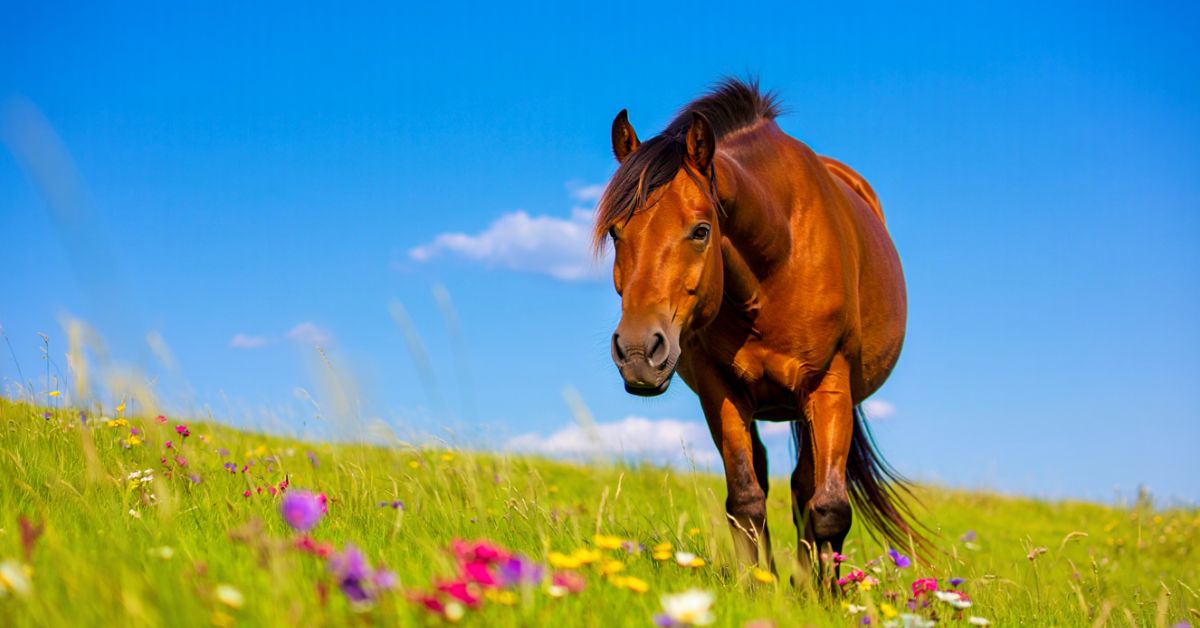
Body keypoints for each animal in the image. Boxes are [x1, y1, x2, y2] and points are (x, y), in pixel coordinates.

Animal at [593, 79, 925, 578]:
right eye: (616, 231)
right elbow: (746, 499)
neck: (775, 265)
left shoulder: (829, 386)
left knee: (807, 489)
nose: (637, 353)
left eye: (701, 230)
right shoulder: (721, 389)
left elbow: (829, 508)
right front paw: (760, 584)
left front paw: (825, 590)